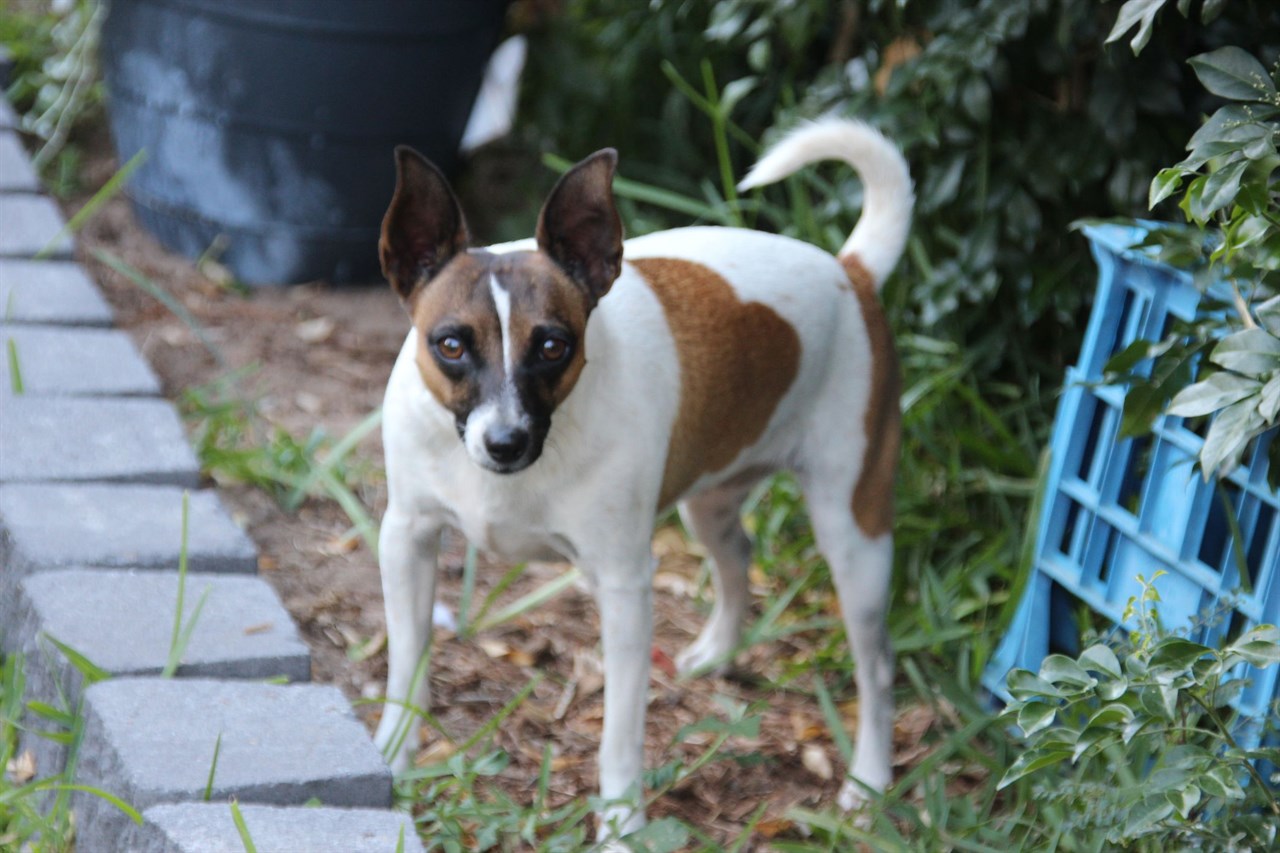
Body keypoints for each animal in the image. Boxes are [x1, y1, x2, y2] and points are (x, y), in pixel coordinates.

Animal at [371, 117, 911, 835]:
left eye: (554, 345)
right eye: (451, 345)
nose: (506, 442)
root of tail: (850, 271)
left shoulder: (624, 589)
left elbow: (621, 733)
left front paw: (622, 828)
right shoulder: (406, 540)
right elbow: (406, 672)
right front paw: (392, 760)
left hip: (855, 538)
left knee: (876, 667)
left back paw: (870, 779)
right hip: (709, 504)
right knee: (737, 553)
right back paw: (717, 651)